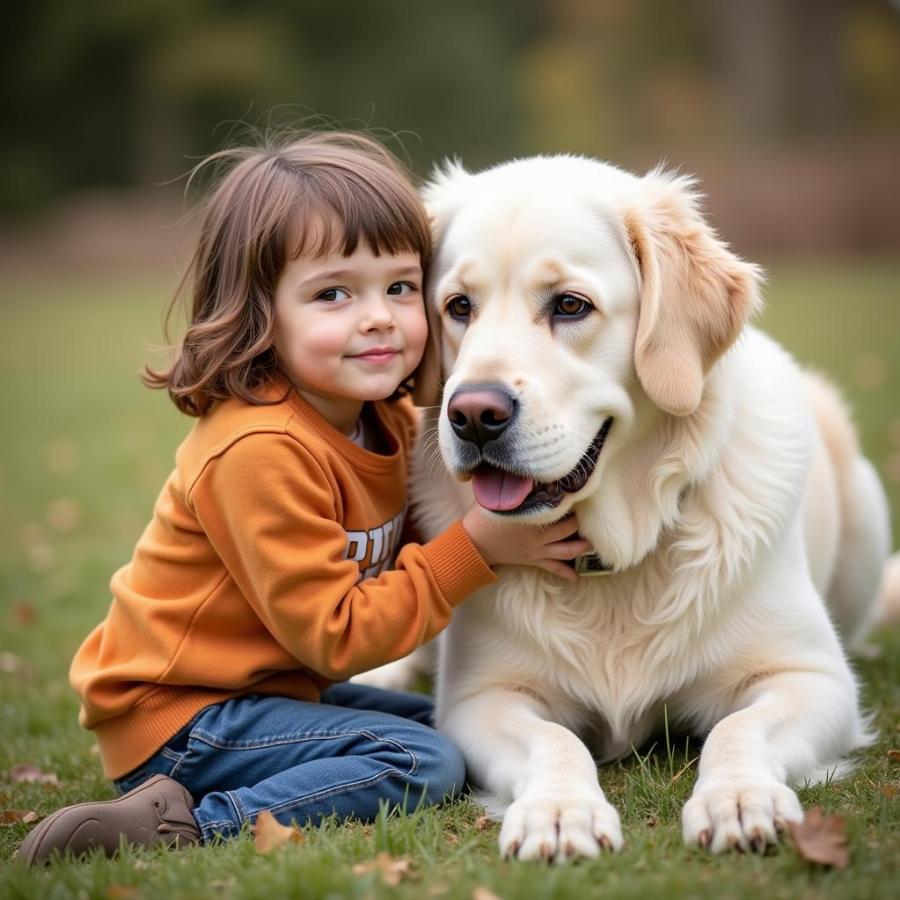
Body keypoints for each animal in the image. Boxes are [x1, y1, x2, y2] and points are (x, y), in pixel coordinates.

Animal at [360, 153, 892, 856]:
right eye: (458, 306)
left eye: (569, 305)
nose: (473, 415)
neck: (612, 555)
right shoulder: (482, 697)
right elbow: (552, 738)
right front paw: (560, 810)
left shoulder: (813, 678)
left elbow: (739, 728)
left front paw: (739, 797)